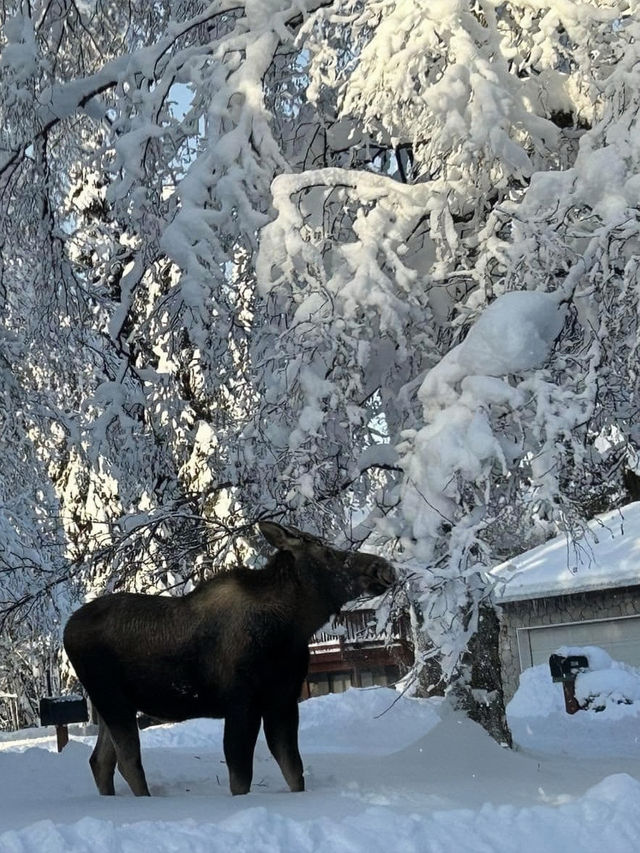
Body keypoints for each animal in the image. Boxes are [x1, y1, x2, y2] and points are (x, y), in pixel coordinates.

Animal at [65, 524, 396, 796]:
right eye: (327, 552)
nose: (383, 567)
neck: (293, 627)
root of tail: (66, 631)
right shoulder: (242, 702)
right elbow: (240, 776)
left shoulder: (282, 700)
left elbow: (294, 771)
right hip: (111, 699)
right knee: (127, 759)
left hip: (113, 705)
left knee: (100, 760)